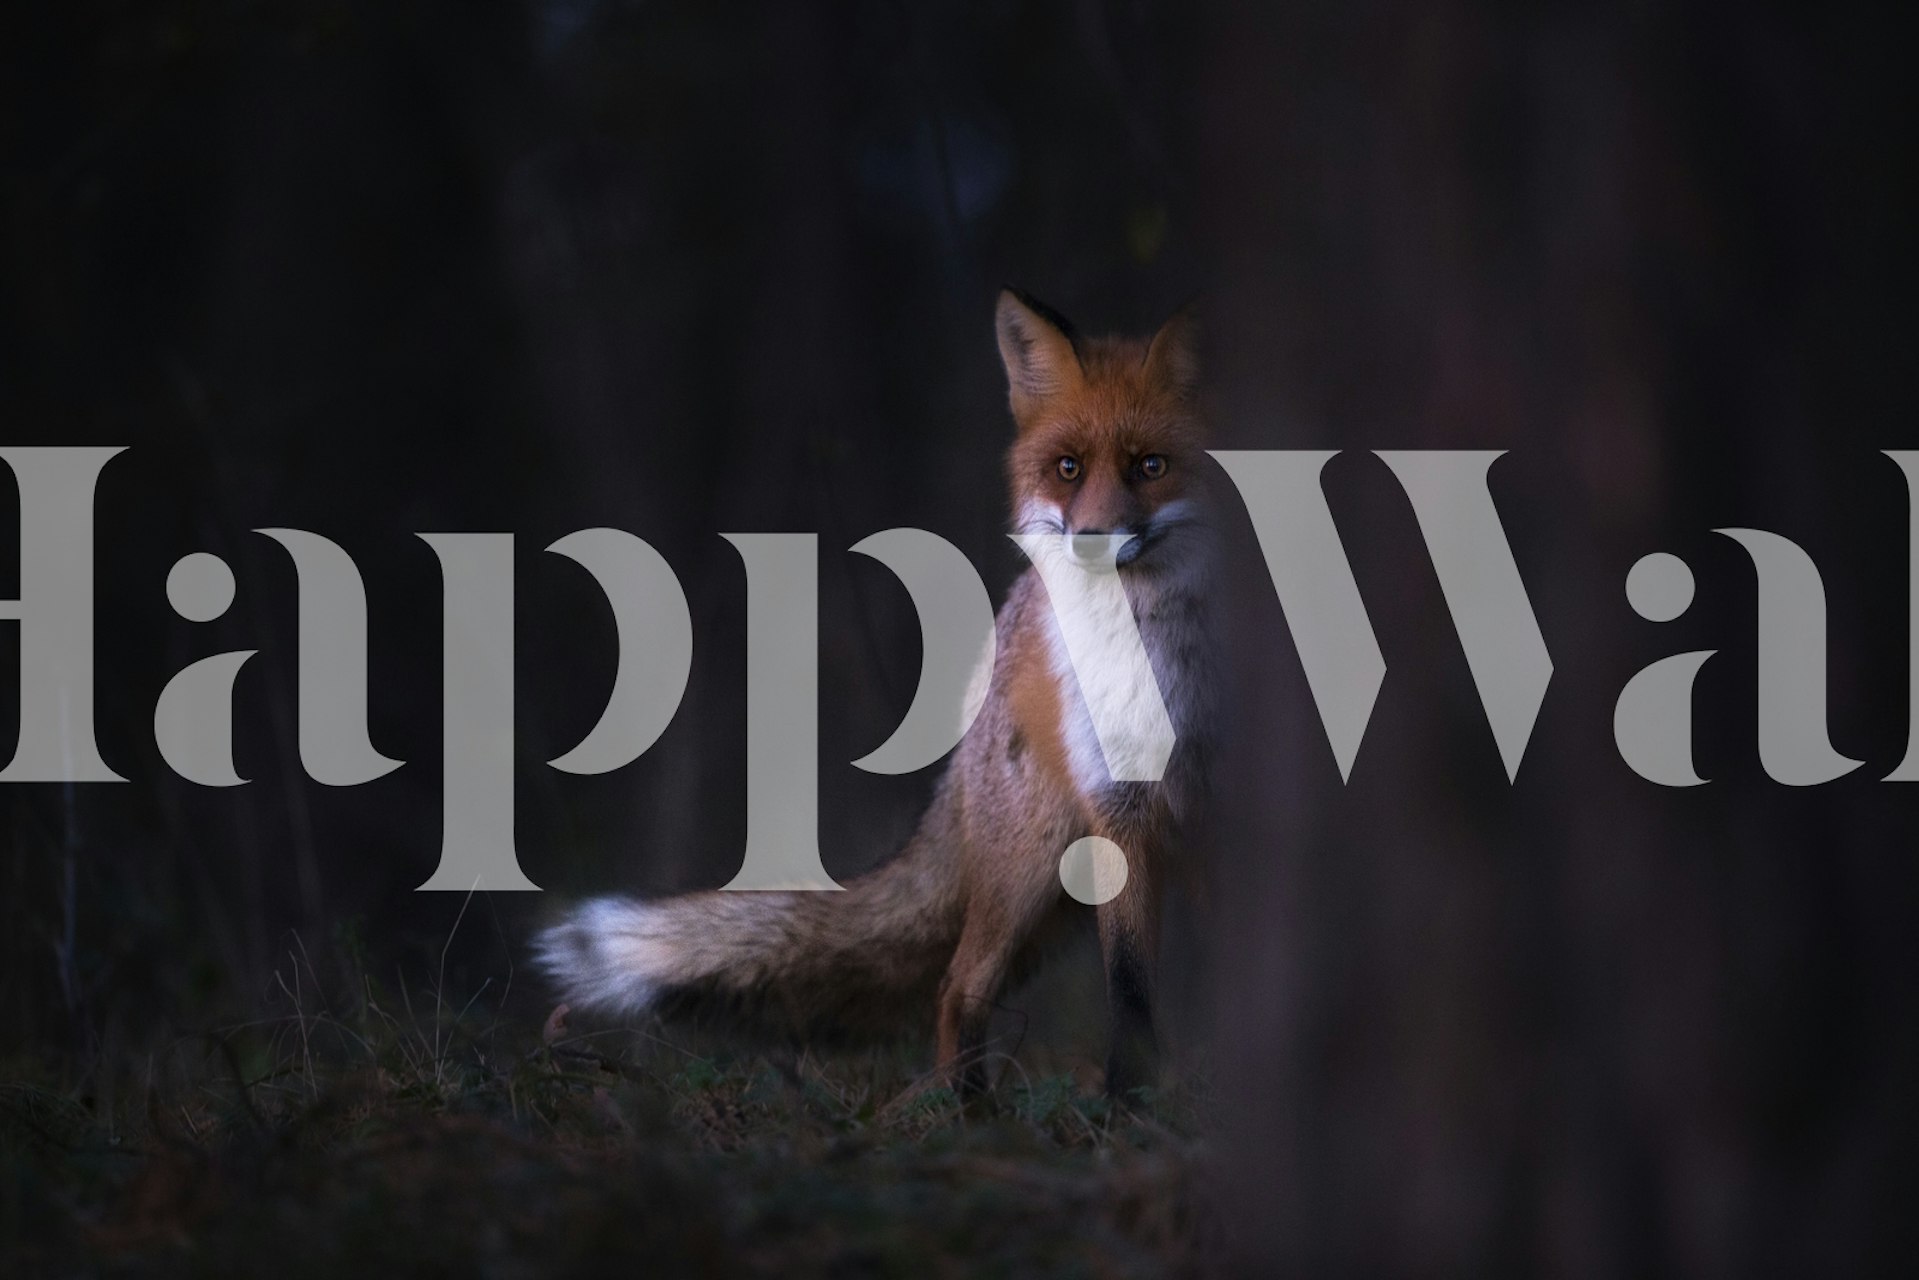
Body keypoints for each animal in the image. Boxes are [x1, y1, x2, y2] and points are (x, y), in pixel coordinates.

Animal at [535, 289, 1217, 1095]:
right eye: (1068, 468)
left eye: (1152, 466)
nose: (1091, 542)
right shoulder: (1124, 810)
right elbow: (1131, 996)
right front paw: (1126, 1107)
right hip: (1031, 862)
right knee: (957, 986)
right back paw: (962, 1110)